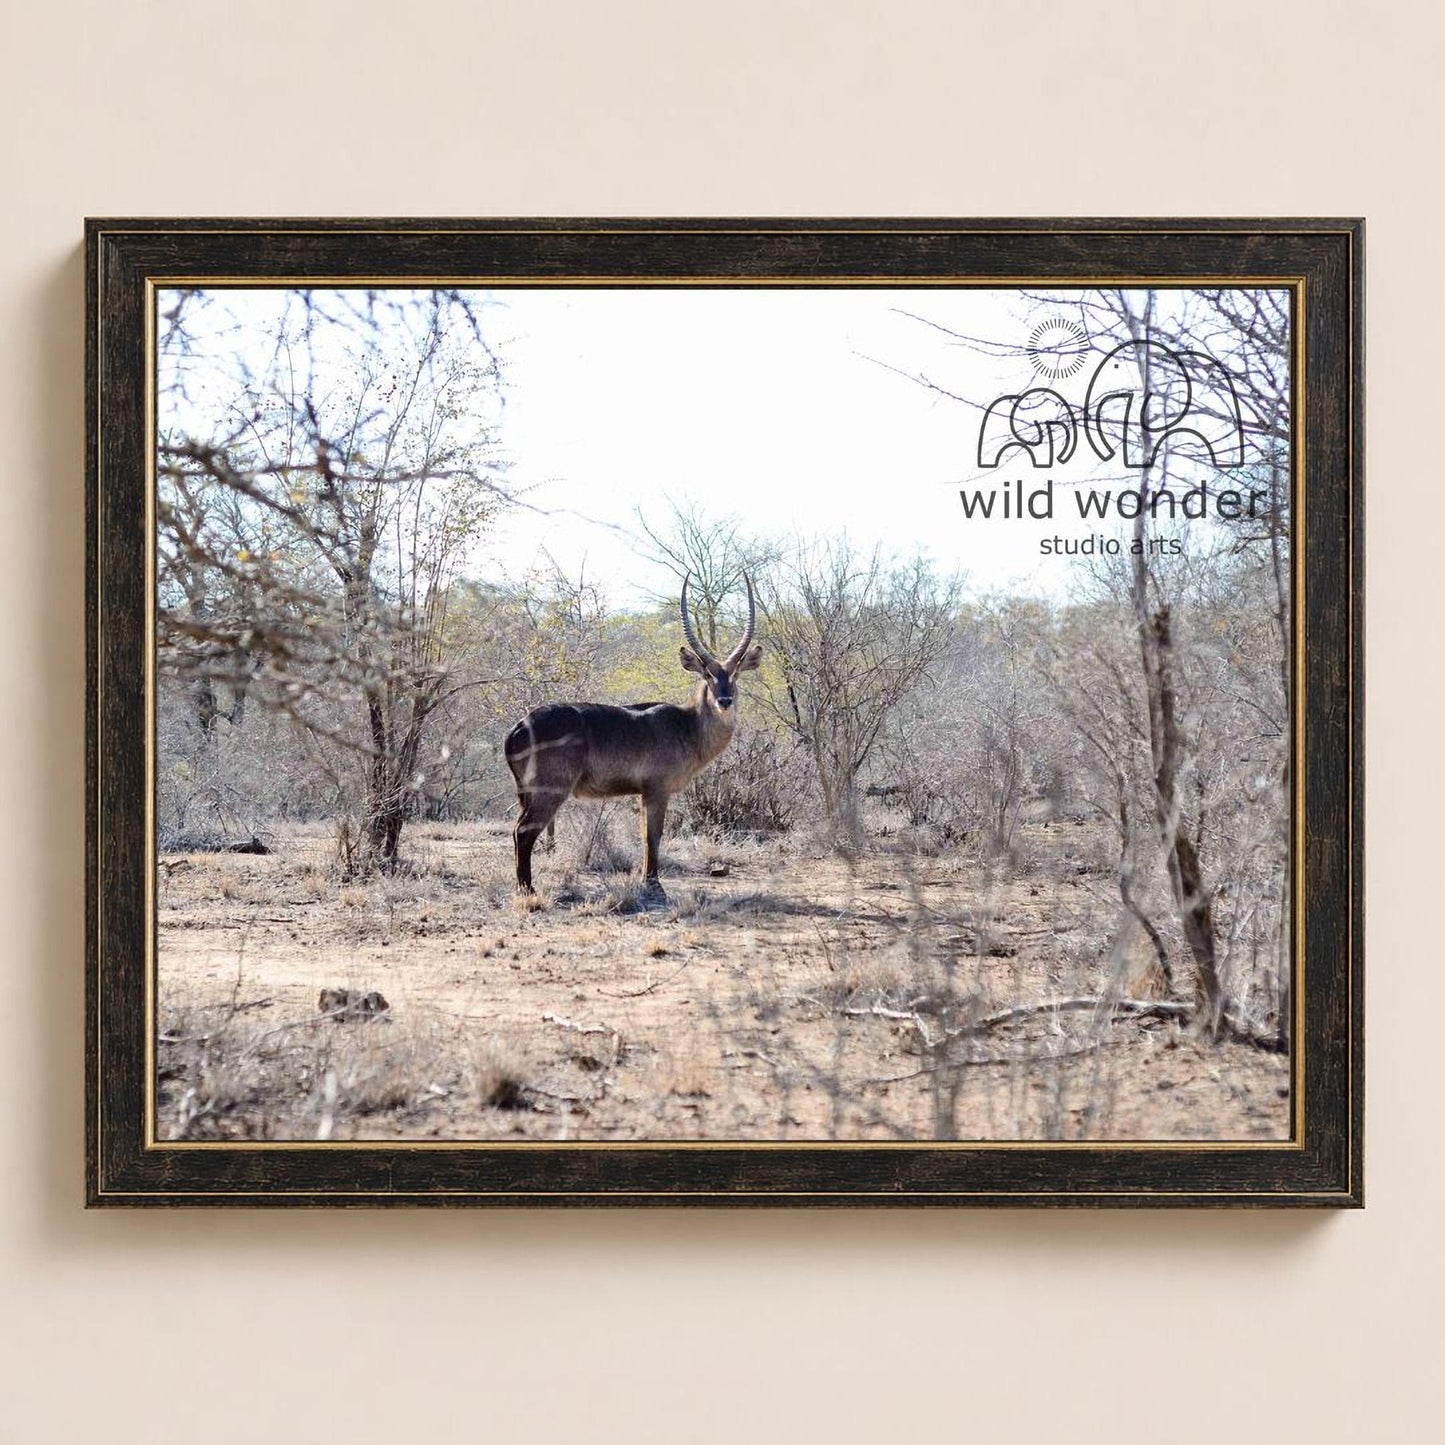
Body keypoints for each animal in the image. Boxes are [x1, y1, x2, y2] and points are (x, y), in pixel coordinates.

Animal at [504, 574, 762, 896]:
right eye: (707, 675)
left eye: (735, 674)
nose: (724, 701)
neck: (688, 725)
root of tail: (519, 726)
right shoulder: (657, 789)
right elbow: (653, 835)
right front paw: (653, 883)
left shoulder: (643, 792)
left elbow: (644, 835)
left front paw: (646, 878)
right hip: (549, 790)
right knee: (524, 831)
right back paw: (528, 891)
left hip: (526, 793)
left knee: (517, 831)